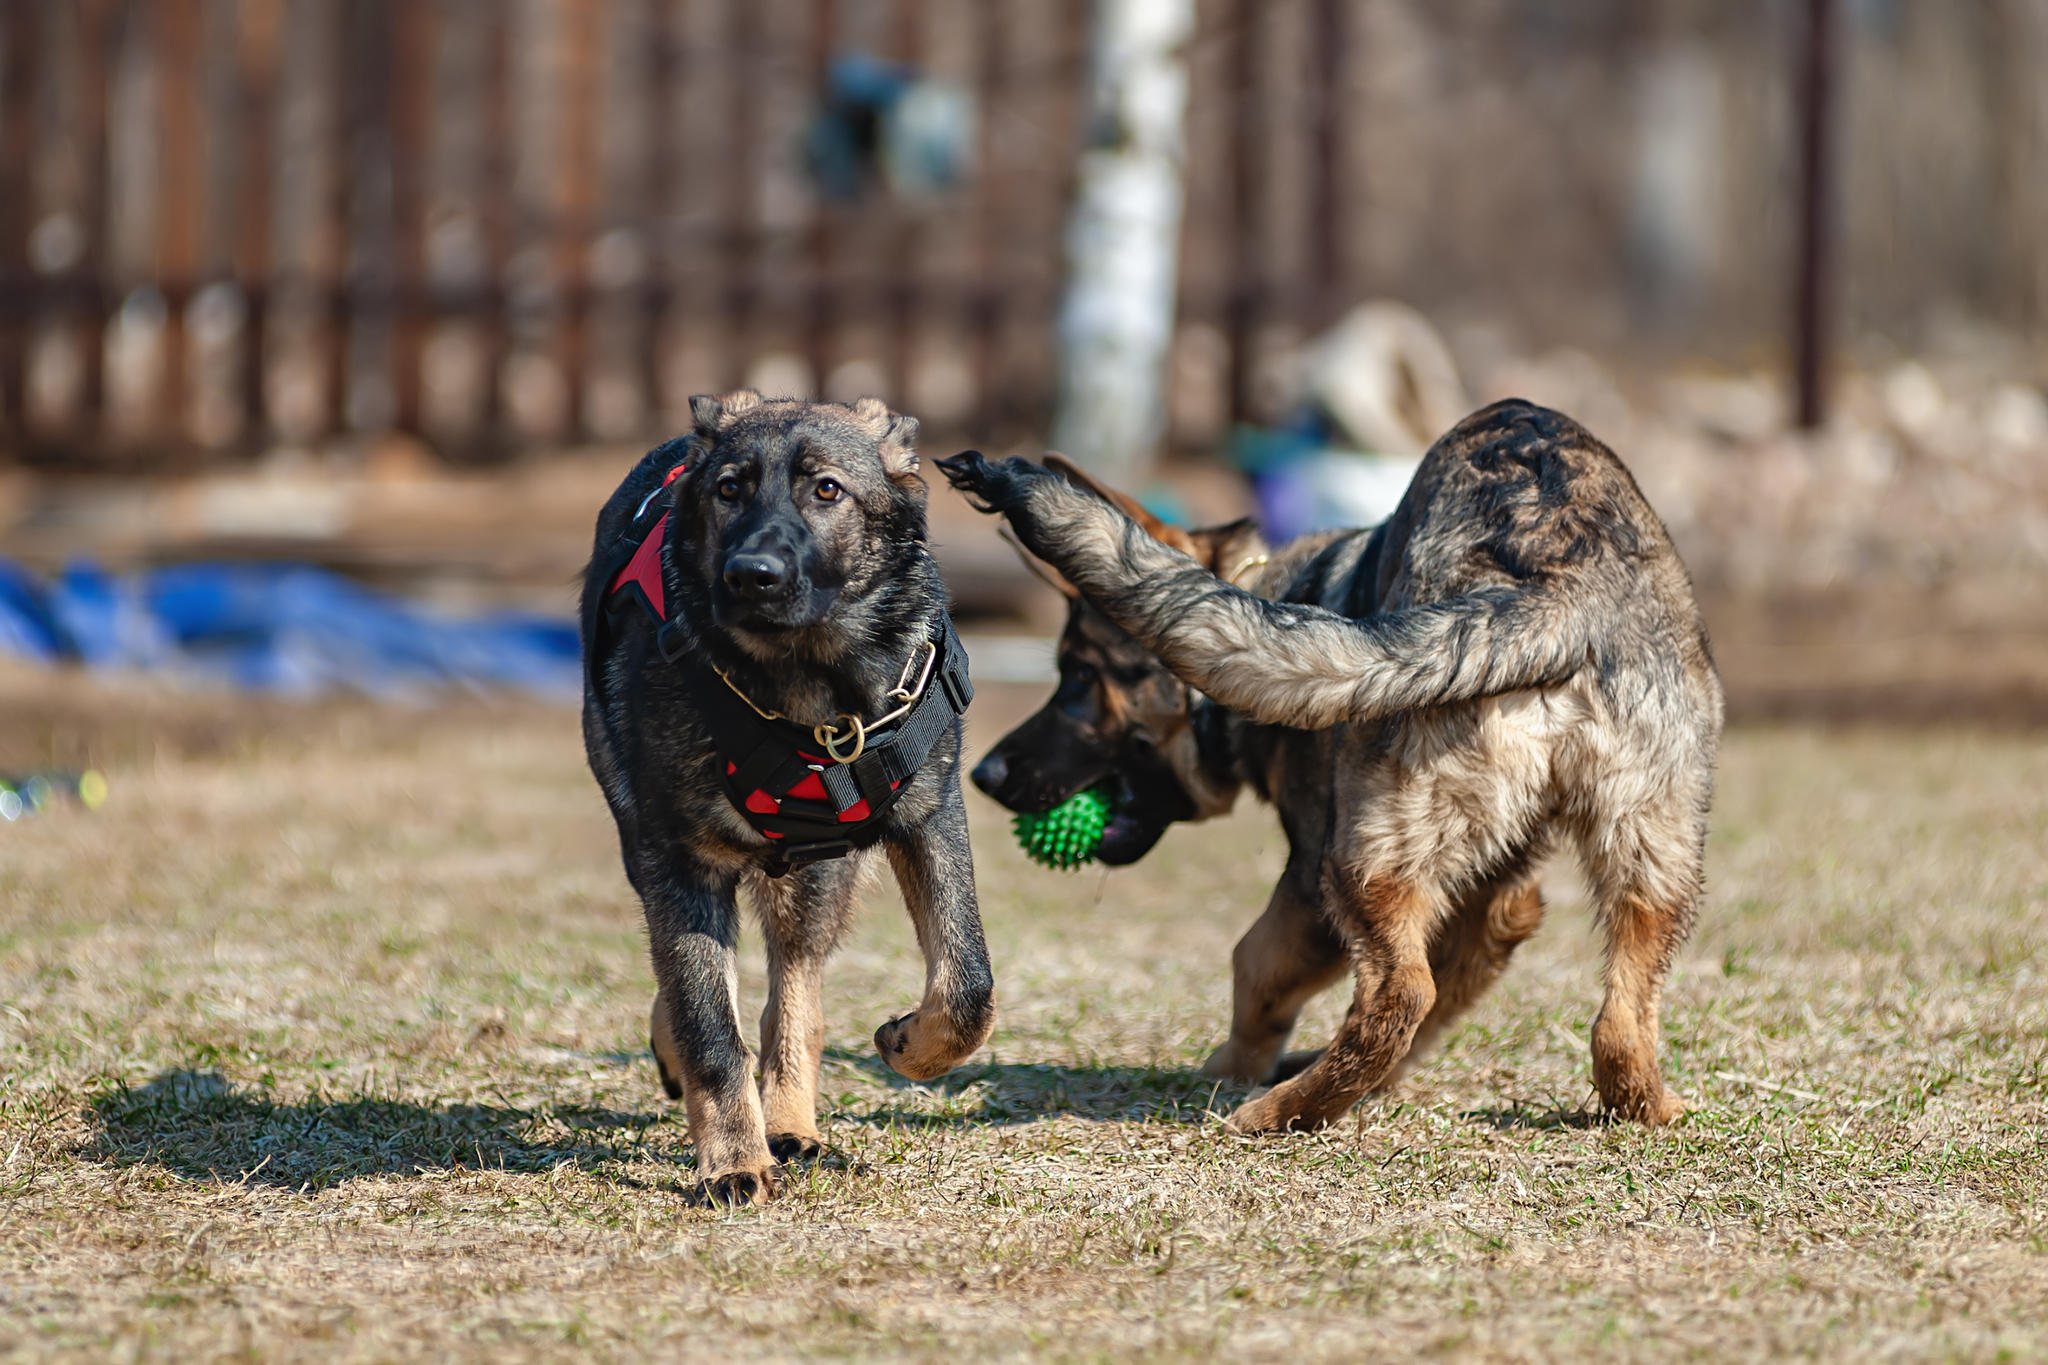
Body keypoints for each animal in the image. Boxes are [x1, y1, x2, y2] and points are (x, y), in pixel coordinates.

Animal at [581, 388, 995, 1203]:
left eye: (827, 490)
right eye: (729, 490)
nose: (752, 575)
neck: (809, 691)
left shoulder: (929, 817)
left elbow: (968, 985)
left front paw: (912, 1046)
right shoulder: (678, 861)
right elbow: (708, 1023)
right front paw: (733, 1161)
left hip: (816, 876)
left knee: (792, 992)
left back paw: (790, 1118)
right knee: (699, 989)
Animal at [950, 403, 1720, 1129]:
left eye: (1081, 675)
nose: (983, 775)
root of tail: (1552, 586)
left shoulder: (1308, 884)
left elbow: (1255, 966)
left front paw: (1234, 1066)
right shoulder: (1503, 899)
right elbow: (1458, 975)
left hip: (1357, 861)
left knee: (1397, 995)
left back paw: (1276, 1113)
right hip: (1658, 865)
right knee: (1618, 1021)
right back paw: (1646, 1106)